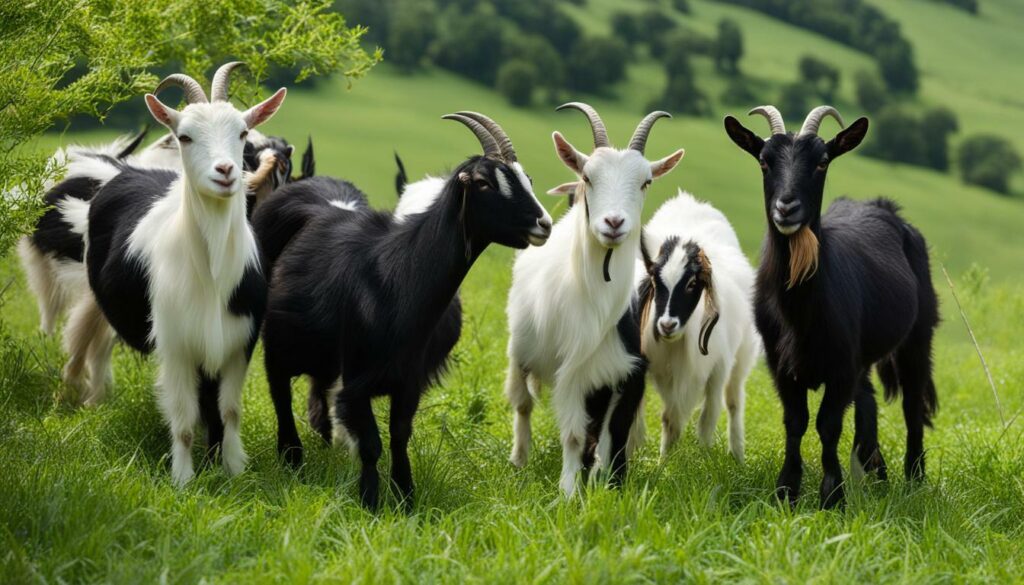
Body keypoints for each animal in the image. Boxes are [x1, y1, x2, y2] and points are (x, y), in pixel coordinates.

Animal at [79, 64, 286, 485]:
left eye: (242, 132)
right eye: (185, 136)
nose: (225, 171)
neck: (211, 275)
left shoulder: (238, 342)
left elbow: (229, 410)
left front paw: (232, 470)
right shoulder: (175, 345)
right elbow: (184, 418)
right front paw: (183, 478)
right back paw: (87, 396)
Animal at [258, 112, 552, 509]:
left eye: (527, 179)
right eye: (483, 183)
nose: (544, 224)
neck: (396, 278)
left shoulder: (408, 380)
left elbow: (399, 436)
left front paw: (405, 499)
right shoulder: (357, 382)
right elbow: (371, 444)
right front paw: (369, 501)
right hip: (278, 341)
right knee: (279, 390)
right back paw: (292, 458)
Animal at [505, 103, 684, 497]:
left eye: (646, 181)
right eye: (588, 177)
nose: (613, 222)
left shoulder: (624, 369)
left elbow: (614, 431)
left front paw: (609, 483)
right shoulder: (571, 370)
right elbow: (573, 434)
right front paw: (569, 491)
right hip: (521, 353)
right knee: (523, 405)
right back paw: (519, 459)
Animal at [636, 192, 759, 461]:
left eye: (692, 283)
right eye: (655, 280)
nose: (667, 325)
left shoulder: (717, 367)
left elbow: (708, 415)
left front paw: (703, 458)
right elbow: (665, 418)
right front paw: (658, 462)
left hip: (742, 356)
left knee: (734, 401)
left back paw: (737, 455)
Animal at [724, 105, 939, 508]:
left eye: (822, 162)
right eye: (764, 160)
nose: (786, 207)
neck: (799, 313)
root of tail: (885, 207)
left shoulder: (841, 366)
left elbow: (828, 424)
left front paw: (832, 496)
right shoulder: (781, 363)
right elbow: (795, 421)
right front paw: (786, 491)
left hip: (919, 334)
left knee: (912, 403)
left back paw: (914, 479)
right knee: (868, 400)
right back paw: (876, 473)